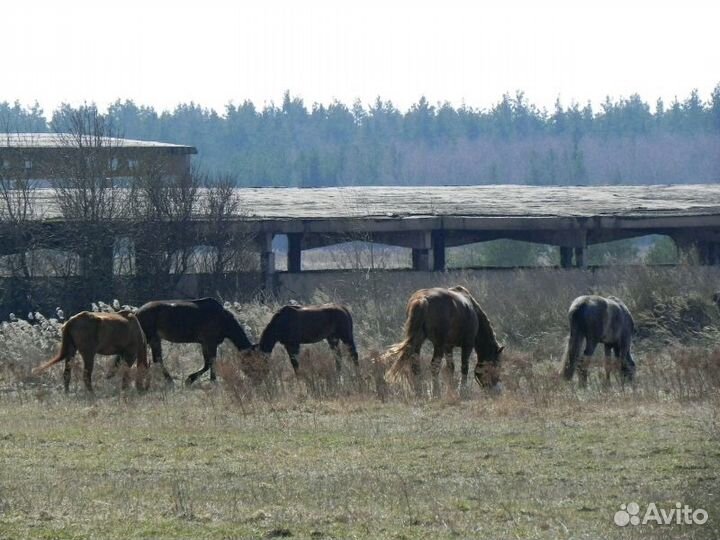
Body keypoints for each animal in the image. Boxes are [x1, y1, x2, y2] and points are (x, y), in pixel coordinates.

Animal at [109, 297, 254, 386]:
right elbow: (210, 362)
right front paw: (204, 380)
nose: (255, 376)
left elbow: (207, 362)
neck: (223, 318)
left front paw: (194, 379)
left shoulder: (204, 343)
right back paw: (169, 380)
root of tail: (136, 313)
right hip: (151, 339)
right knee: (155, 359)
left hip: (154, 340)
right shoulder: (210, 342)